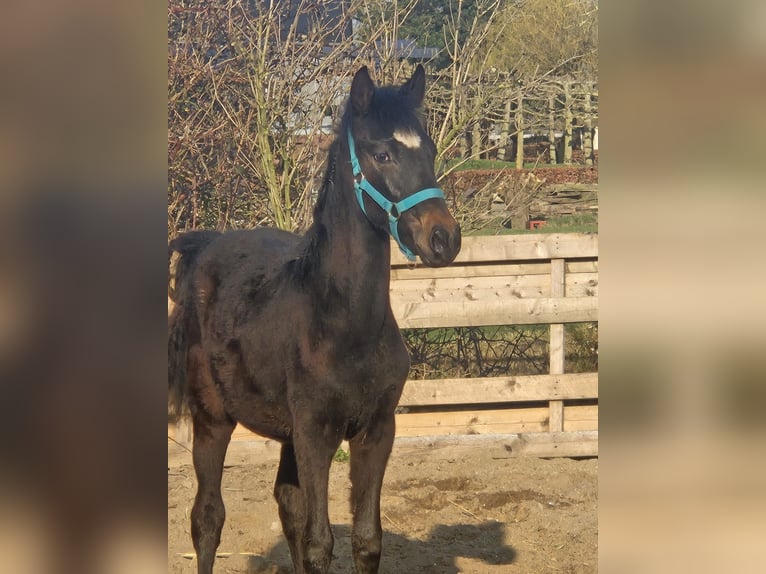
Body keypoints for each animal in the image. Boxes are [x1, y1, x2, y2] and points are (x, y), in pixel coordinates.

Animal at [168, 65, 461, 574]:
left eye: (429, 150)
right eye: (382, 153)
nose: (444, 238)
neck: (344, 326)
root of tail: (204, 244)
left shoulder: (376, 431)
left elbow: (364, 538)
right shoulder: (315, 434)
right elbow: (320, 541)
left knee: (287, 505)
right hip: (214, 419)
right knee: (207, 517)